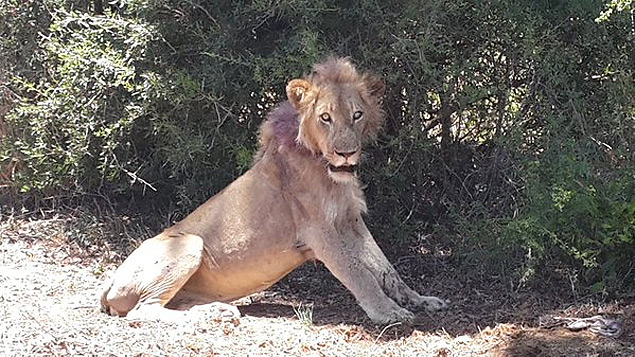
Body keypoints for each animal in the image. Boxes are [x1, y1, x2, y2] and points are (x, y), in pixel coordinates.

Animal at [100, 56, 448, 322]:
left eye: (357, 115)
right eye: (325, 117)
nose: (346, 153)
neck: (326, 171)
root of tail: (112, 279)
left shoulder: (350, 221)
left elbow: (386, 268)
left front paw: (421, 300)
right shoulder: (319, 231)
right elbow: (358, 273)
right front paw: (388, 313)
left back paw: (217, 310)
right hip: (189, 244)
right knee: (142, 311)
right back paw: (212, 316)